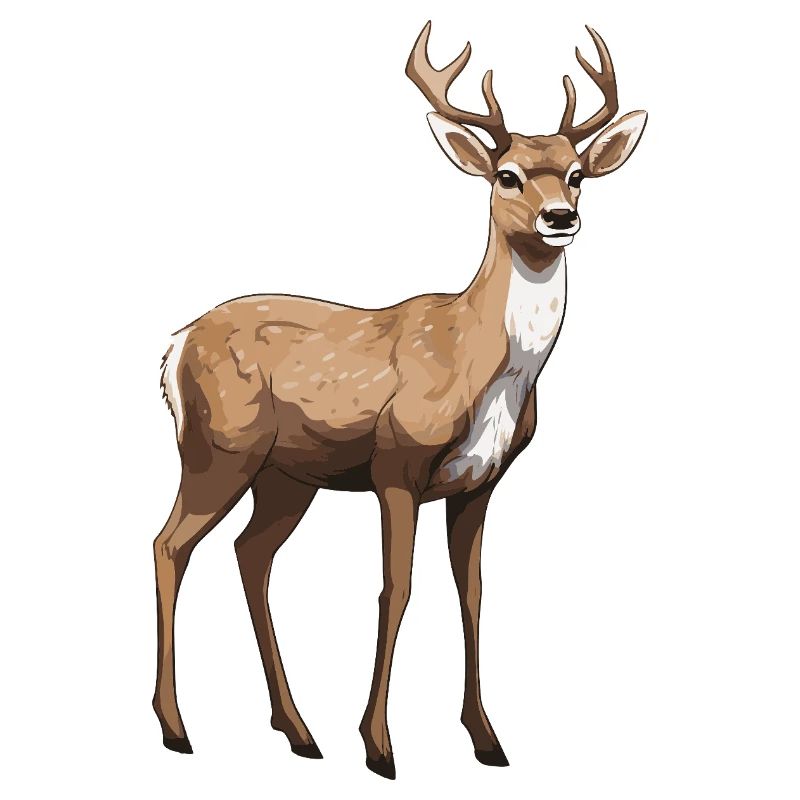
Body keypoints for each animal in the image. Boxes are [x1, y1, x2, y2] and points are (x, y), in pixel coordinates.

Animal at [152, 21, 647, 780]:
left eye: (577, 173)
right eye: (506, 175)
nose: (561, 217)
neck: (476, 360)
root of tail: (173, 346)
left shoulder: (480, 482)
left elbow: (472, 592)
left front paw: (487, 739)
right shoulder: (397, 464)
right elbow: (397, 588)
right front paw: (379, 746)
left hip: (285, 476)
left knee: (250, 554)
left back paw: (298, 731)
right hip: (217, 449)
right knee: (169, 545)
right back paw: (177, 728)